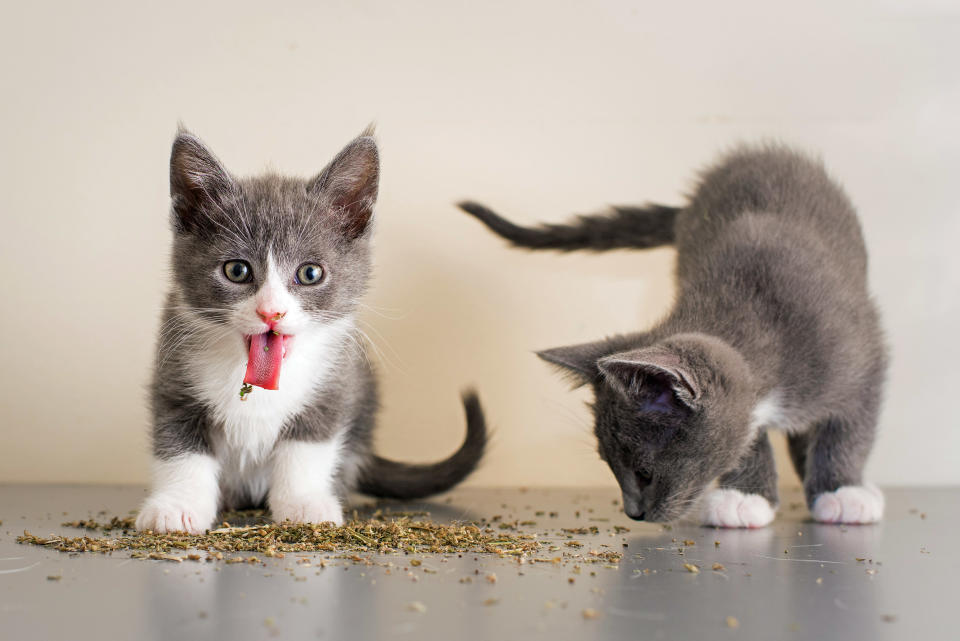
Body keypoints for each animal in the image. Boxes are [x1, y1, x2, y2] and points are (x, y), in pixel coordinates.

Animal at [137, 127, 488, 532]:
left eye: (309, 273)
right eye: (236, 270)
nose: (271, 311)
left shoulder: (336, 382)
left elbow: (307, 447)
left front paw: (304, 504)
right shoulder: (173, 379)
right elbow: (180, 449)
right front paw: (176, 506)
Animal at [462, 148, 888, 528]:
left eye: (644, 473)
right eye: (608, 465)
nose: (633, 514)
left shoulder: (861, 352)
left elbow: (849, 427)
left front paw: (840, 489)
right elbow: (750, 436)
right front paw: (746, 496)